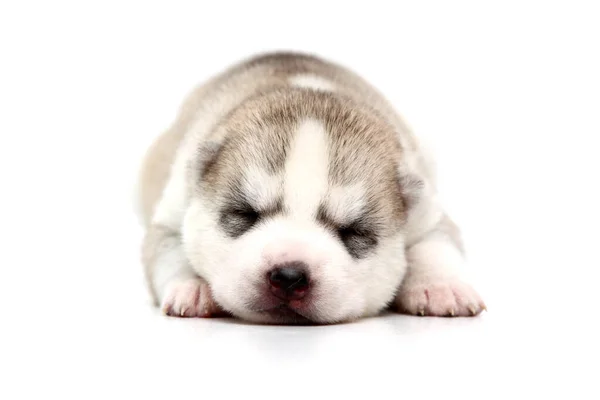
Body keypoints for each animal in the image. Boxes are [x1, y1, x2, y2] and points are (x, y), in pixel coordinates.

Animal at [136, 51, 482, 324]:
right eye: (245, 214)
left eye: (353, 232)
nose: (289, 276)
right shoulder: (174, 206)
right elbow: (171, 247)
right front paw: (193, 287)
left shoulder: (426, 210)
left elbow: (433, 245)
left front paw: (441, 286)